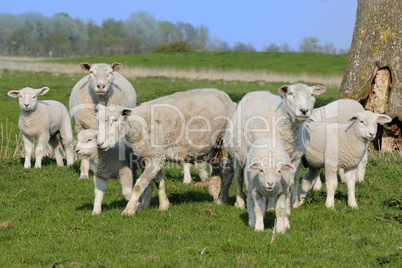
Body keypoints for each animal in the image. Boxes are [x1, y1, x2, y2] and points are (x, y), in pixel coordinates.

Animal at [96, 88, 237, 216]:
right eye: (98, 121)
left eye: (115, 120)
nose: (99, 144)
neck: (140, 127)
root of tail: (227, 98)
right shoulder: (152, 157)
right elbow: (158, 182)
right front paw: (163, 205)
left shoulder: (155, 158)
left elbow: (139, 185)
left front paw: (129, 210)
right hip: (213, 149)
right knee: (218, 171)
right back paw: (216, 196)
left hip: (225, 144)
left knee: (227, 174)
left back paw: (222, 199)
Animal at [225, 82, 326, 213]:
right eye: (290, 93)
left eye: (312, 94)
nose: (304, 110)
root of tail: (257, 92)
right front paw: (269, 207)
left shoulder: (295, 159)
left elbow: (290, 184)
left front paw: (286, 209)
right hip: (237, 155)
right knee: (238, 178)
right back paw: (240, 203)